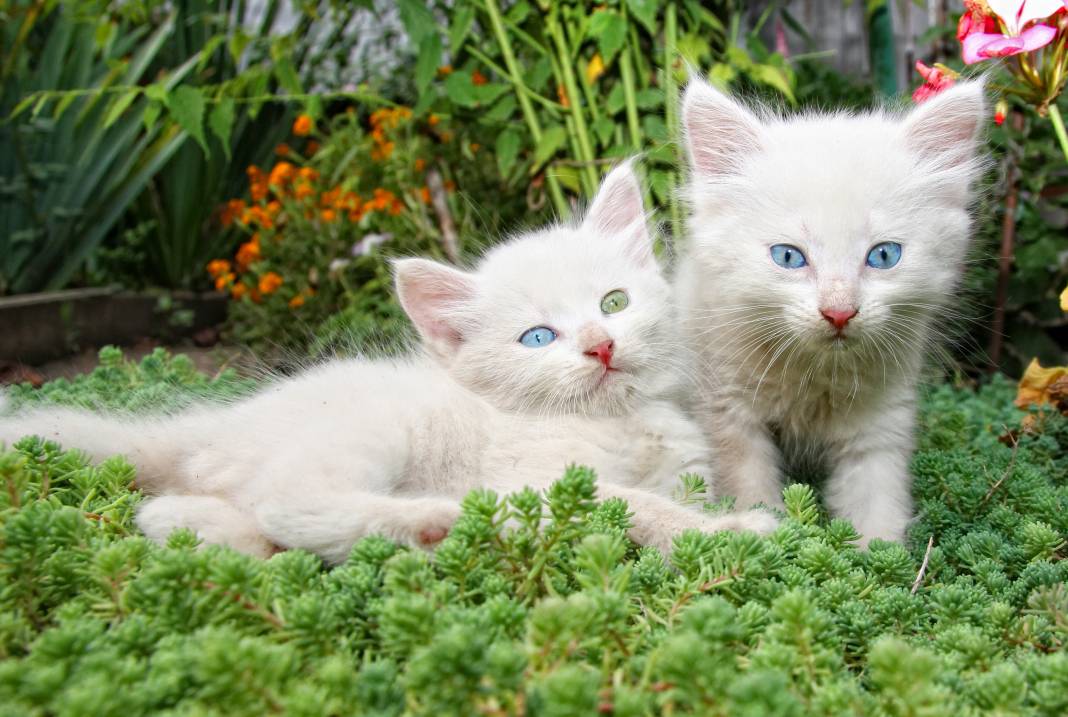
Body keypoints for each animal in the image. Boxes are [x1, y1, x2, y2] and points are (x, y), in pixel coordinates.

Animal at [0, 165, 773, 564]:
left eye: (614, 301)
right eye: (537, 337)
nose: (600, 345)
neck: (619, 421)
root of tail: (215, 428)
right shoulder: (536, 478)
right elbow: (635, 504)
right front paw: (732, 531)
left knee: (187, 513)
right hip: (372, 429)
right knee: (291, 498)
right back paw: (440, 521)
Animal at [674, 78, 982, 544]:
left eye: (884, 255)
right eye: (788, 257)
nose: (839, 312)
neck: (816, 375)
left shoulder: (882, 418)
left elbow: (876, 501)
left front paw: (881, 558)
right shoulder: (725, 407)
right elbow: (748, 486)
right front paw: (767, 535)